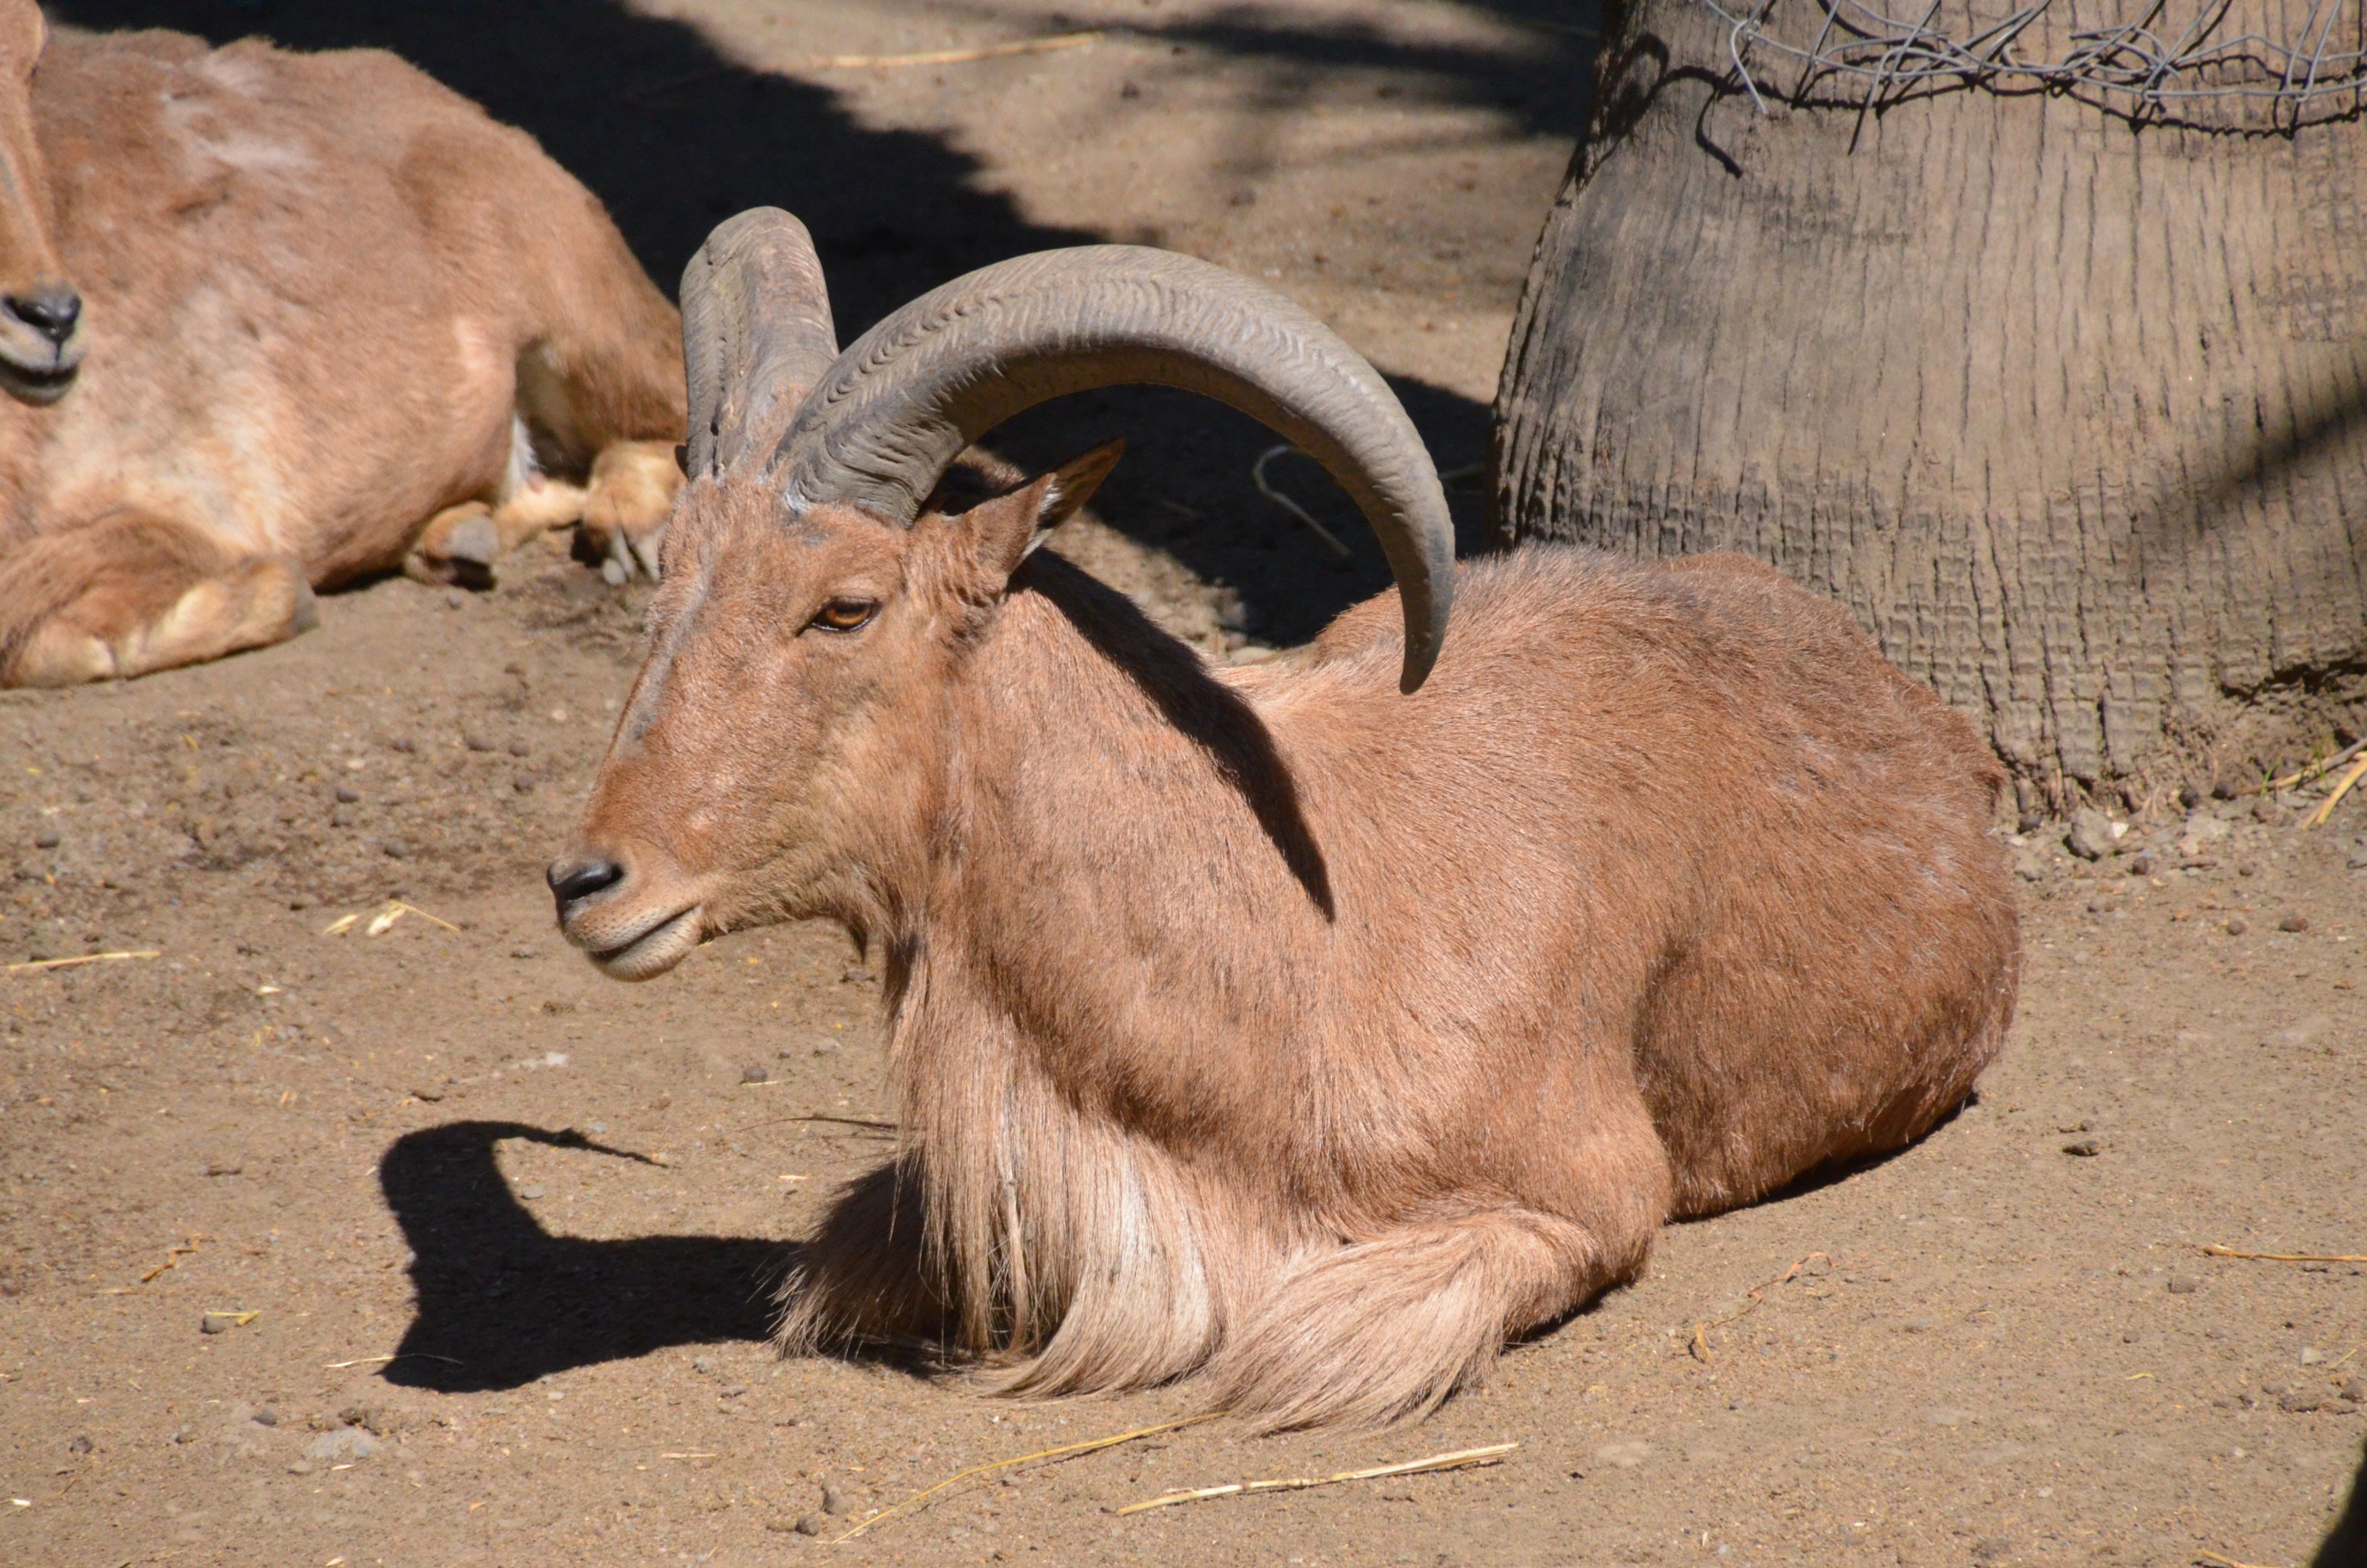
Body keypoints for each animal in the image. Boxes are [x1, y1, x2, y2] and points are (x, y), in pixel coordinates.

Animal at [0, 3, 684, 687]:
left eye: (34, 56)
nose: (50, 316)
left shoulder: (185, 502)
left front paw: (278, 595)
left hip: (580, 307)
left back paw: (627, 528)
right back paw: (459, 539)